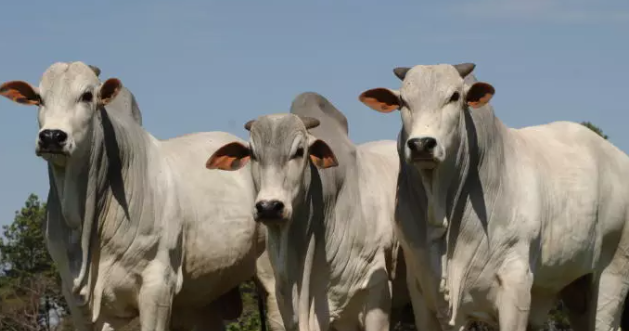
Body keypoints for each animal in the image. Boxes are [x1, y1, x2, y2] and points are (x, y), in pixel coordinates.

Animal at [0, 63, 282, 331]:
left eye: (87, 95)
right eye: (39, 98)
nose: (51, 136)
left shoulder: (158, 284)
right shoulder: (77, 297)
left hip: (270, 270)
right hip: (203, 298)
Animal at [360, 63, 628, 331]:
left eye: (455, 96)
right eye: (403, 101)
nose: (421, 144)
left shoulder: (516, 282)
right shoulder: (421, 289)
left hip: (611, 276)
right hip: (578, 288)